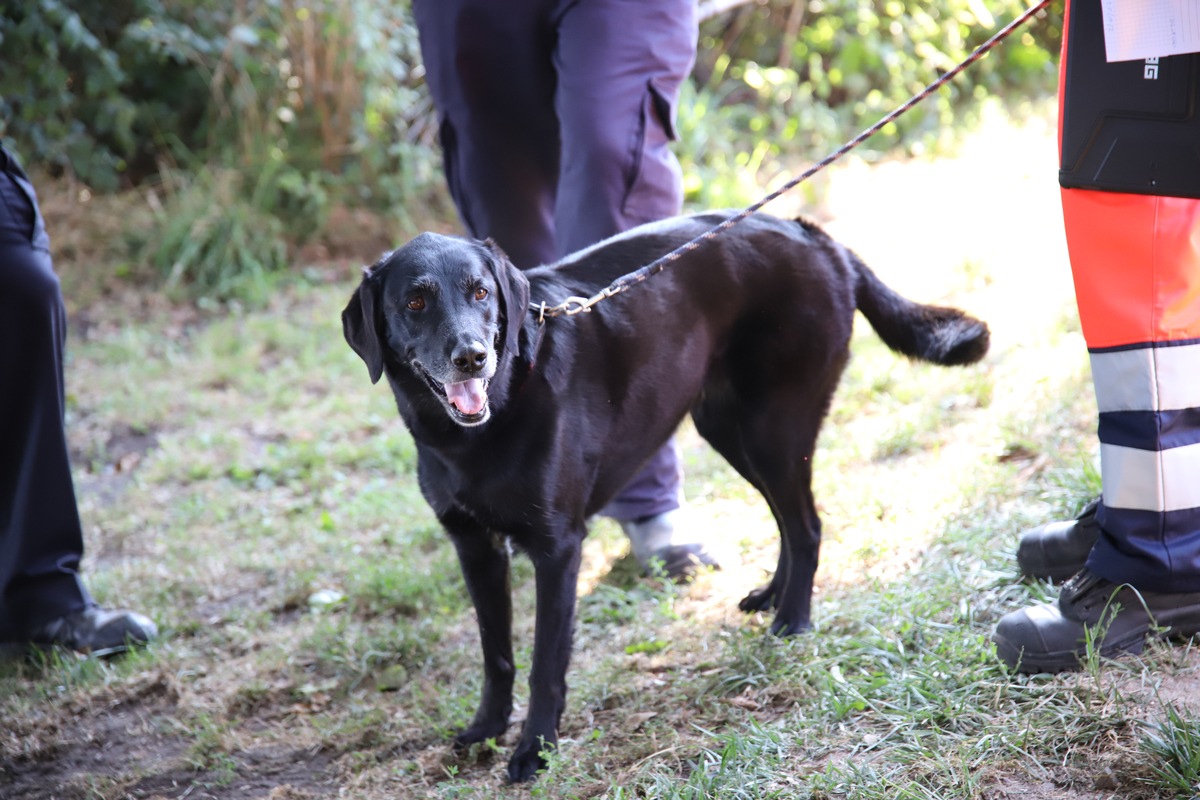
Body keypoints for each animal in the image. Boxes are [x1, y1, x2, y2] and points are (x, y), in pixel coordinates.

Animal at [343, 212, 988, 782]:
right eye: (415, 303)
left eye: (480, 292)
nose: (473, 356)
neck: (478, 426)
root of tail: (811, 234)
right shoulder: (474, 547)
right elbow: (496, 654)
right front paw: (485, 730)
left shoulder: (557, 548)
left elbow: (545, 662)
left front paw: (535, 750)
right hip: (729, 429)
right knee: (787, 518)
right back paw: (772, 596)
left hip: (773, 431)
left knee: (806, 524)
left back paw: (793, 621)